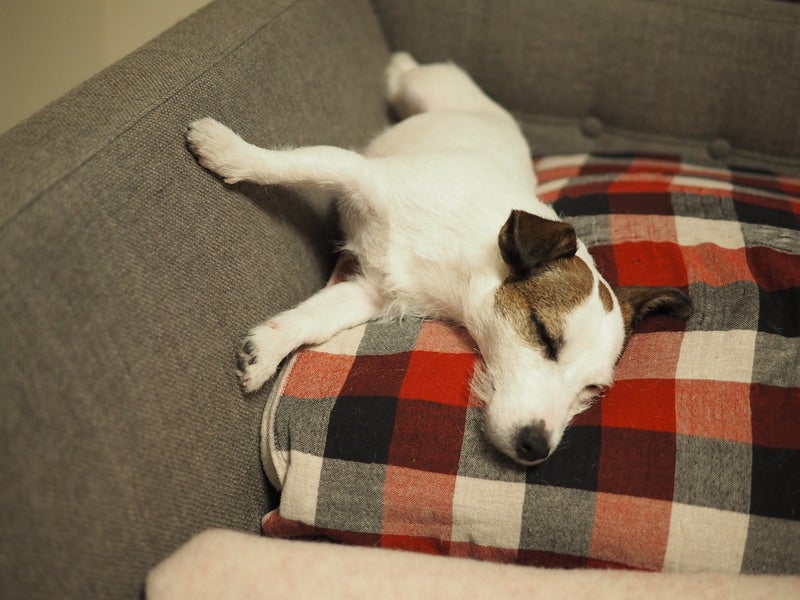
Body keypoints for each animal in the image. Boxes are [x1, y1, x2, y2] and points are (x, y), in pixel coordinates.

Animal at [186, 52, 691, 466]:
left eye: (593, 389)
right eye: (544, 336)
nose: (536, 448)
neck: (457, 260)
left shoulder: (372, 293)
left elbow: (314, 318)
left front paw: (266, 350)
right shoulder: (358, 173)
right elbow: (293, 163)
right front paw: (226, 150)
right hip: (427, 86)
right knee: (407, 77)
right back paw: (397, 65)